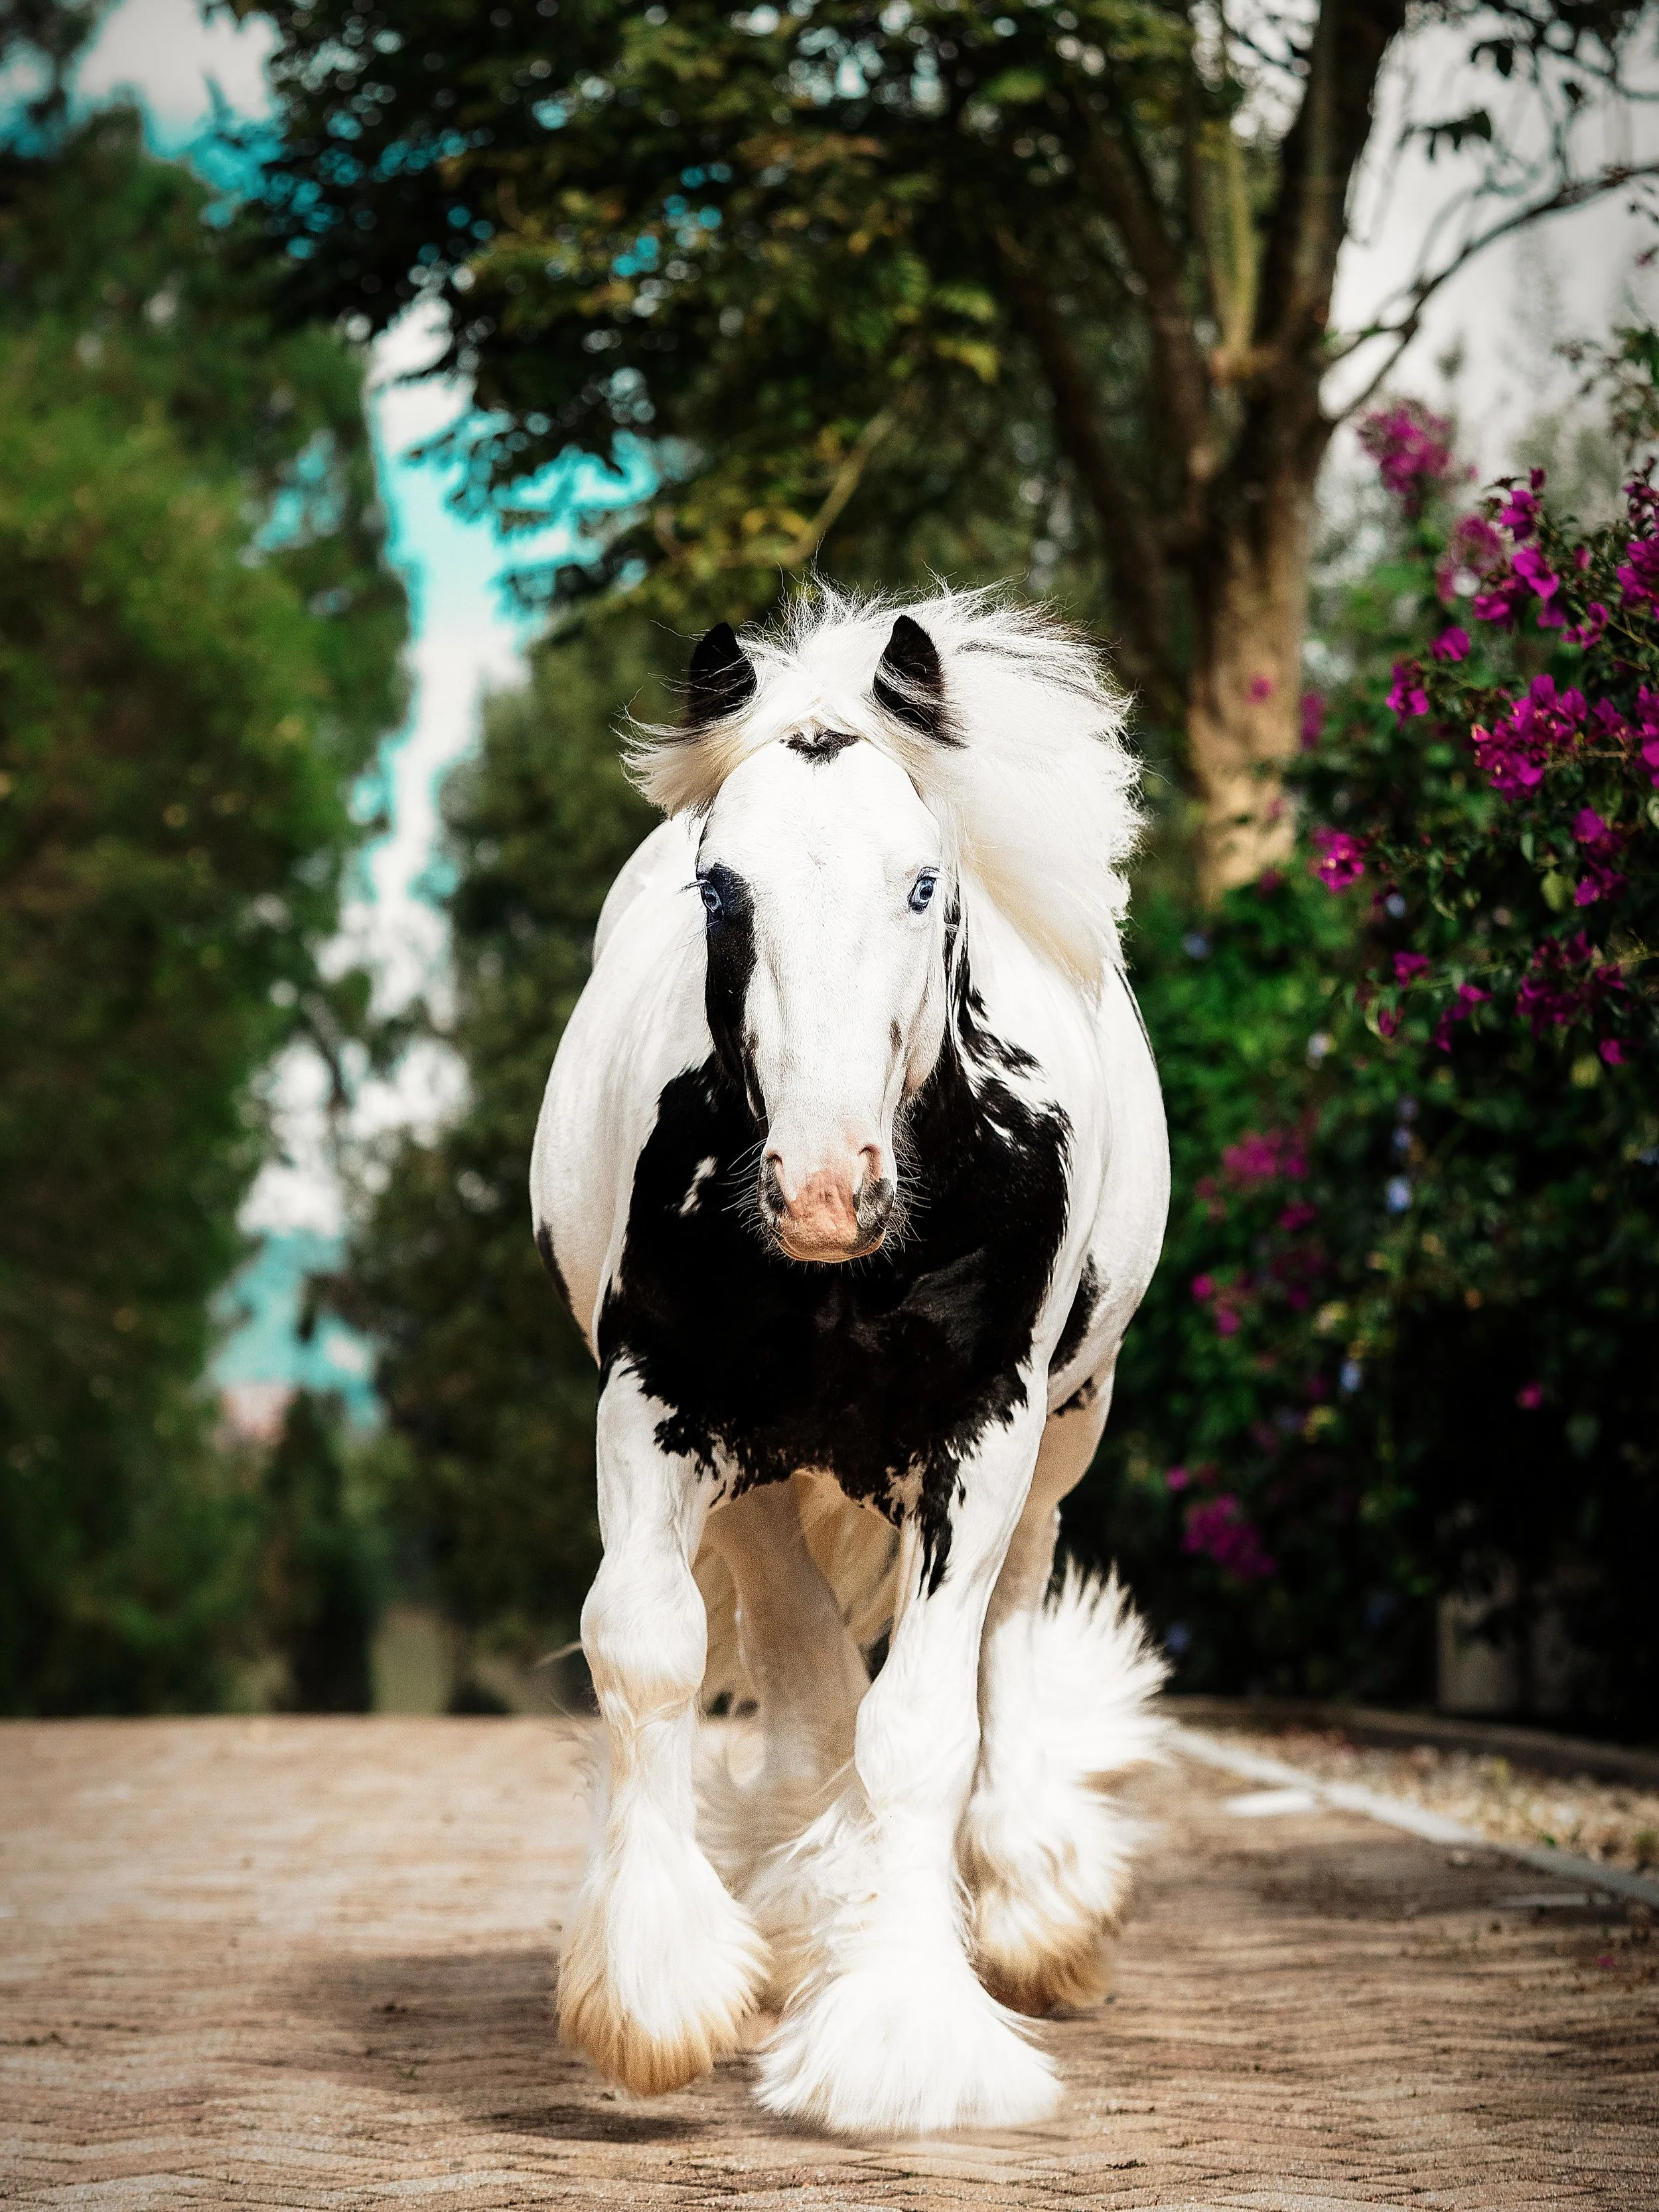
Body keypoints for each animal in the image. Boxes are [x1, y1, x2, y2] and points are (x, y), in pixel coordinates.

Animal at [530, 586, 1170, 2137]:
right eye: (720, 889)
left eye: (924, 884)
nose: (825, 1190)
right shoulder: (657, 1399)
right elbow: (652, 1649)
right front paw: (659, 1994)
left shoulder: (982, 1433)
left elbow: (924, 1726)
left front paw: (900, 2039)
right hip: (764, 1469)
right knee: (806, 1671)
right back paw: (804, 1898)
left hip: (1065, 1431)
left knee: (1004, 1627)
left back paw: (1029, 1902)